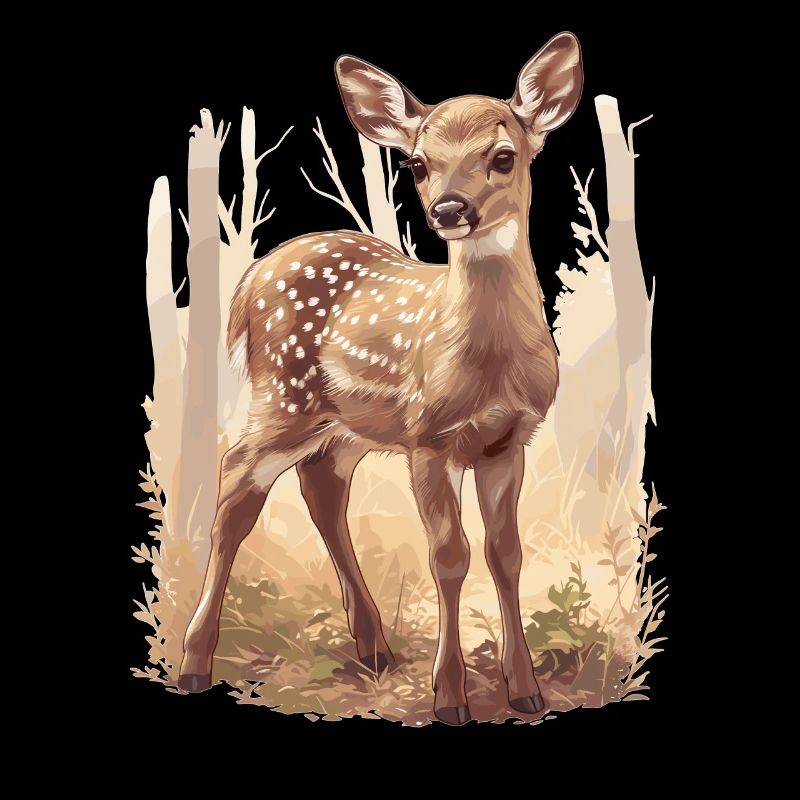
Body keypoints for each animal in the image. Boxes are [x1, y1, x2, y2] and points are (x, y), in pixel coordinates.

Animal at [178, 32, 583, 725]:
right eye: (417, 164)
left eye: (504, 156)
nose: (450, 208)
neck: (489, 368)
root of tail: (251, 282)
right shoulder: (429, 436)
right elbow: (449, 557)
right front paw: (450, 697)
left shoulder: (508, 441)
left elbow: (506, 555)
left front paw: (525, 690)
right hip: (283, 396)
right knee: (235, 483)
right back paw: (193, 664)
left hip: (345, 426)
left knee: (320, 488)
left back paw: (375, 648)